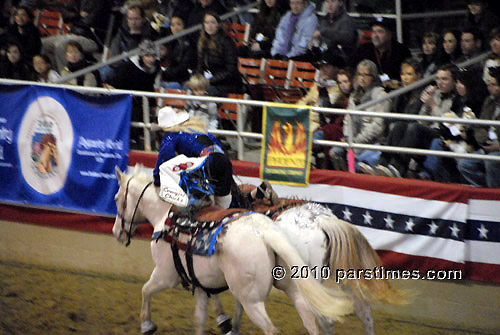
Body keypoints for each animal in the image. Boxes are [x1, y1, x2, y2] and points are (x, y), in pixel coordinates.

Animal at [111, 167, 354, 335]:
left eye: (116, 199)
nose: (116, 232)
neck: (167, 214)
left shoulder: (166, 275)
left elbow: (146, 290)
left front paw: (147, 325)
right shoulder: (204, 280)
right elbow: (201, 316)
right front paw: (226, 322)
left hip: (259, 299)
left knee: (276, 327)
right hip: (296, 287)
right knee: (316, 320)